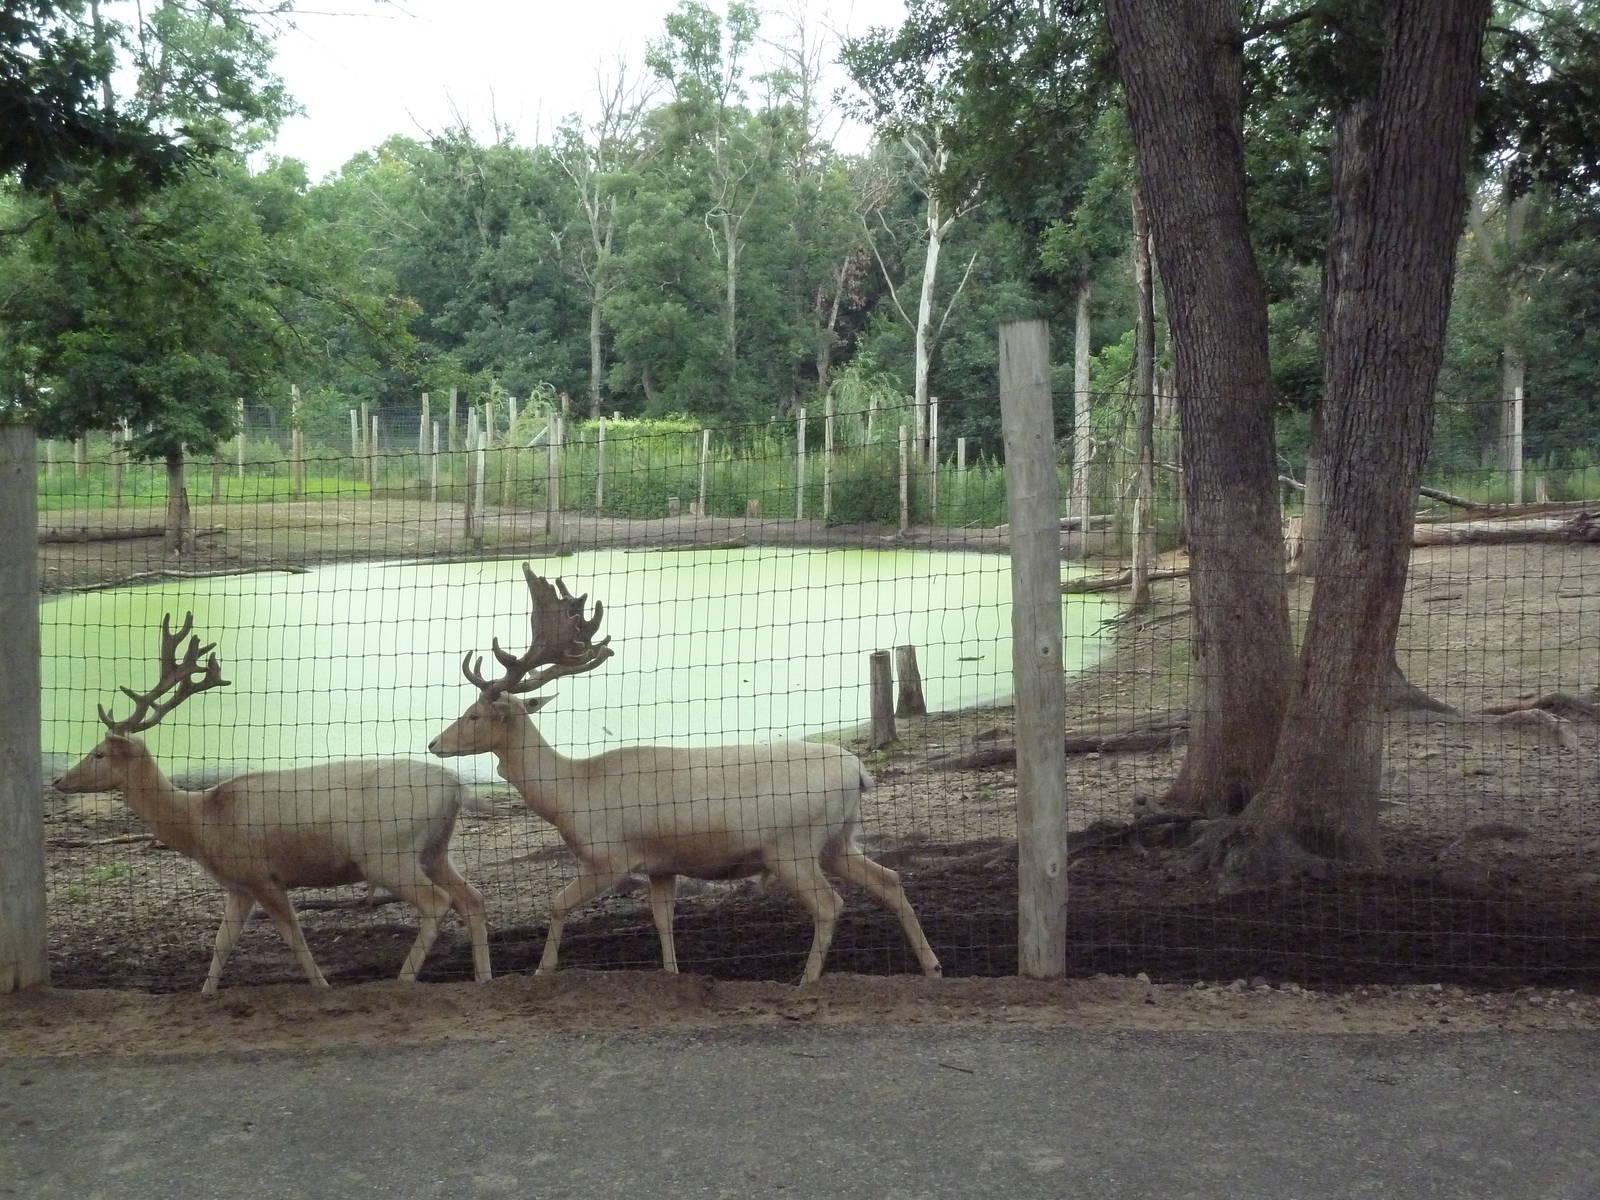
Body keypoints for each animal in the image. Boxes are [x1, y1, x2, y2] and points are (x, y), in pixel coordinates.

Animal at [53, 613, 492, 995]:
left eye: (98, 754)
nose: (59, 781)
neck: (200, 822)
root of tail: (457, 786)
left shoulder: (262, 874)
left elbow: (293, 936)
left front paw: (323, 986)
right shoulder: (238, 885)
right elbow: (222, 943)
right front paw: (205, 994)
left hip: (386, 852)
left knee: (438, 901)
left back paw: (403, 978)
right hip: (435, 849)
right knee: (472, 898)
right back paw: (482, 978)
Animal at [428, 563, 943, 984]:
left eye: (474, 714)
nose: (433, 743)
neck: (571, 796)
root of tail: (859, 770)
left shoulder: (610, 857)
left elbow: (558, 904)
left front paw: (541, 970)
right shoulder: (661, 864)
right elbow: (662, 920)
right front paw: (673, 975)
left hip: (792, 844)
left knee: (830, 904)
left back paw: (807, 980)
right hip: (838, 838)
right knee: (890, 880)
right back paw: (932, 967)